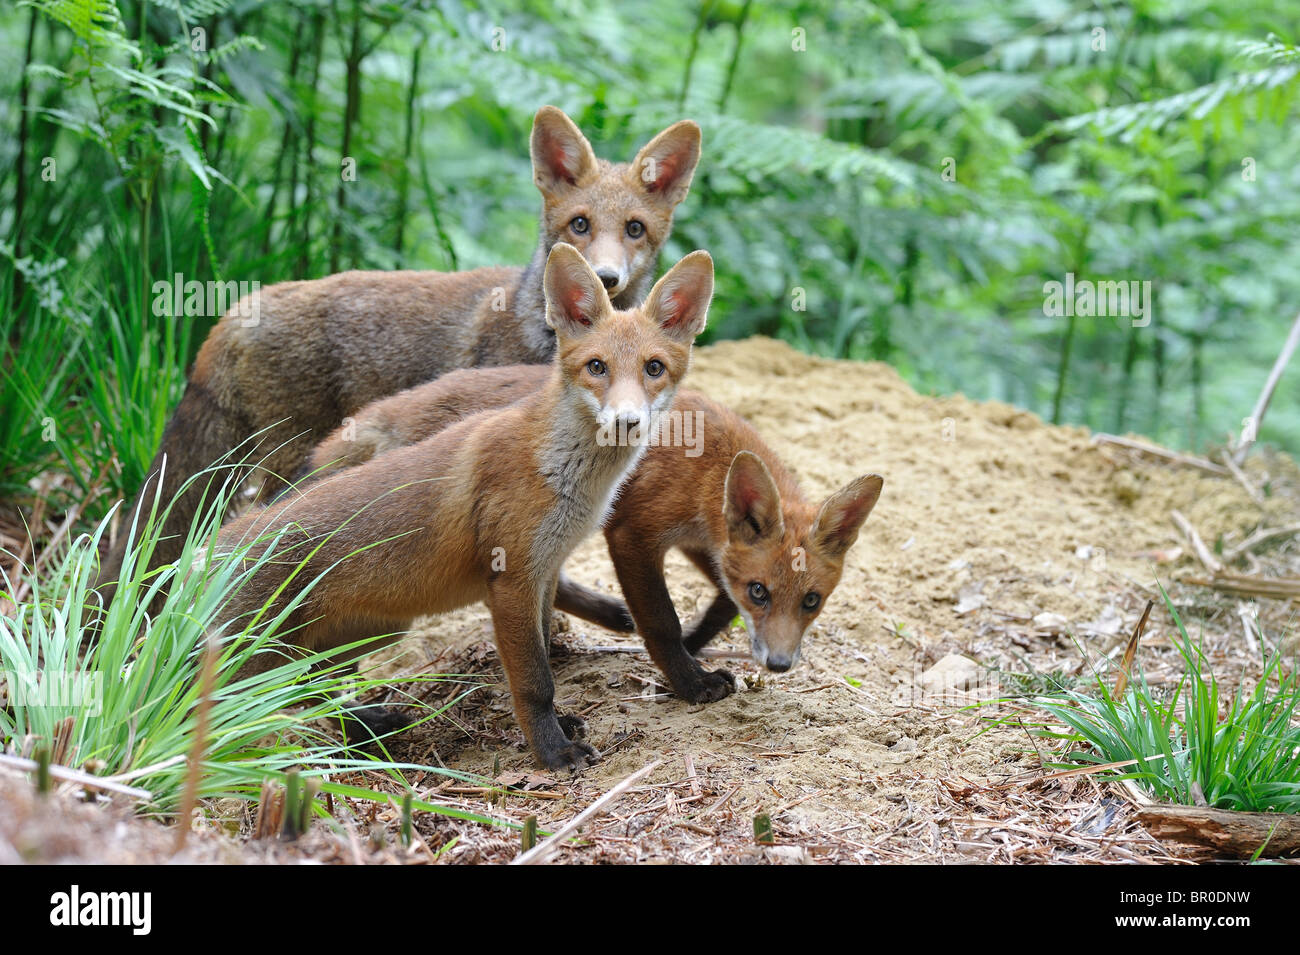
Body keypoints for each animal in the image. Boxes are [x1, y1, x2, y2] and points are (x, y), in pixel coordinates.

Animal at [212, 244, 713, 770]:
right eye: (597, 367)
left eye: (654, 368)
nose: (626, 420)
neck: (564, 474)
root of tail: (212, 545)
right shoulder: (512, 580)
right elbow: (535, 682)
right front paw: (553, 751)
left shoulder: (544, 572)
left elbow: (546, 657)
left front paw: (561, 727)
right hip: (262, 661)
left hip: (375, 631)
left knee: (312, 685)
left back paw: (367, 728)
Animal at [305, 365, 884, 703]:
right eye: (762, 593)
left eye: (811, 601)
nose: (780, 665)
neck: (706, 465)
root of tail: (382, 414)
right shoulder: (634, 534)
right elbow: (663, 620)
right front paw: (689, 679)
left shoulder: (707, 542)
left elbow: (720, 600)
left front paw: (698, 644)